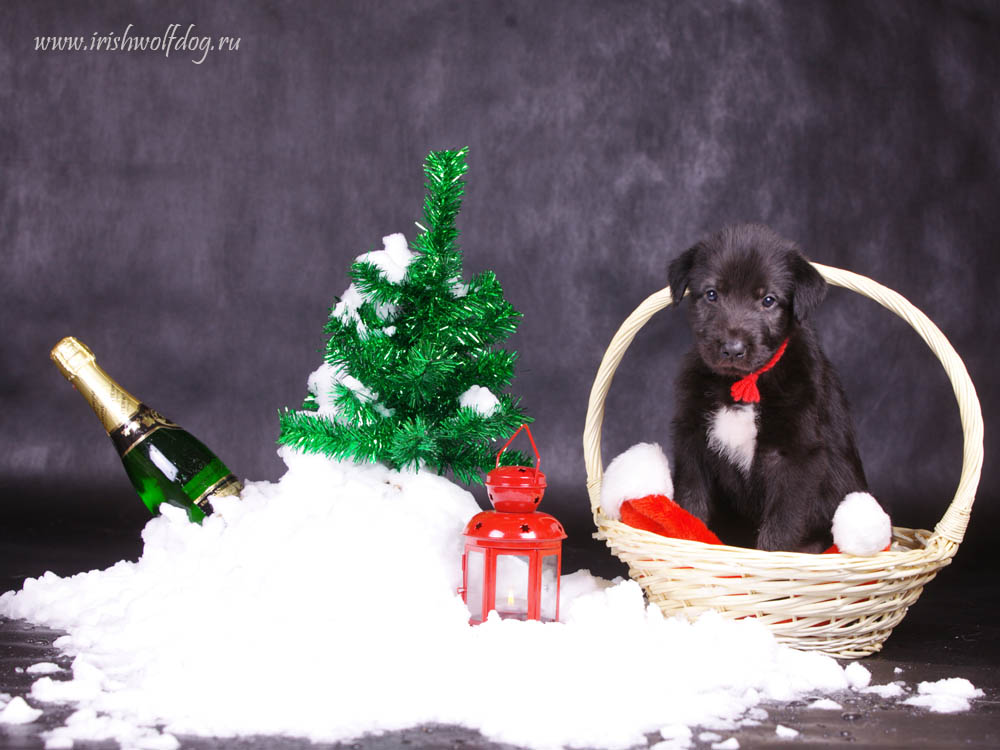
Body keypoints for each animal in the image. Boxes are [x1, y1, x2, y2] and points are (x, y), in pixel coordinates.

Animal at [672, 223, 868, 552]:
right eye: (712, 294)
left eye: (768, 300)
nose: (732, 349)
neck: (742, 384)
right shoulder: (692, 441)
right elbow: (691, 502)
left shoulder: (795, 457)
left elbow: (780, 529)